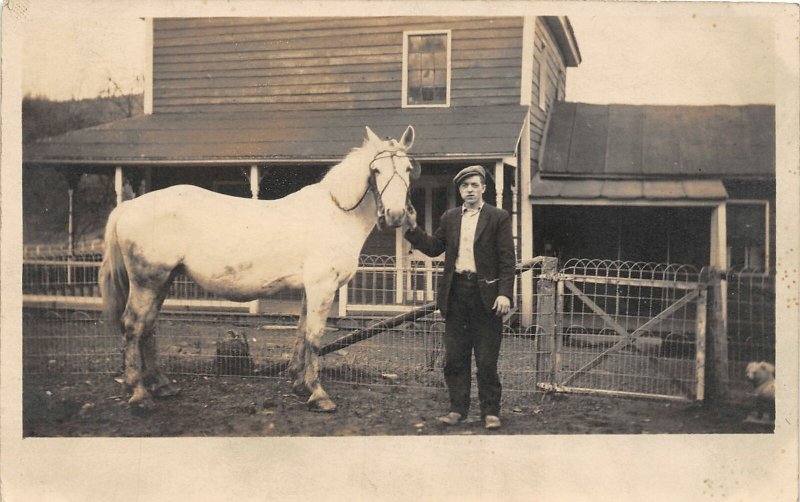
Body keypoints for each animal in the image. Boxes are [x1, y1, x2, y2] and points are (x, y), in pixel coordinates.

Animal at [100, 123, 418, 410]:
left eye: (407, 169)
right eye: (376, 171)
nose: (396, 215)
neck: (335, 213)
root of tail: (128, 207)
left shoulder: (310, 289)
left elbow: (302, 333)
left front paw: (300, 384)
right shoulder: (322, 287)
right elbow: (315, 337)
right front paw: (318, 394)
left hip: (163, 280)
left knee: (149, 327)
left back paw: (161, 385)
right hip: (147, 280)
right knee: (133, 326)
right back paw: (139, 393)